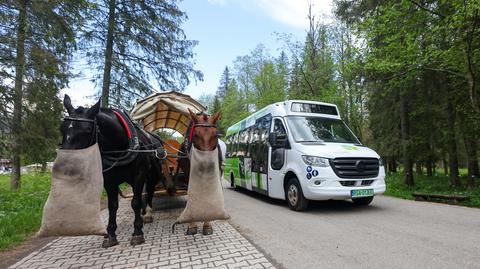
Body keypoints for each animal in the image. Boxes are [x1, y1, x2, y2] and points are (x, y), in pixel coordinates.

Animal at [60, 94, 165, 247]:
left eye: (86, 130)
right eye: (62, 129)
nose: (65, 165)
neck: (120, 147)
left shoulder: (139, 175)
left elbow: (135, 202)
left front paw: (137, 232)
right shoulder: (109, 180)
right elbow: (113, 205)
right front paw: (110, 234)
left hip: (152, 174)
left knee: (149, 191)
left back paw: (148, 213)